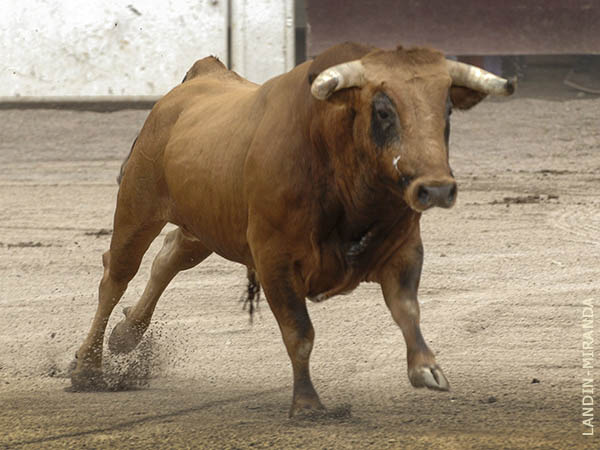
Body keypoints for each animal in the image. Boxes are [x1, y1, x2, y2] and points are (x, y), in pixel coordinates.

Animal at [69, 43, 510, 418]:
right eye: (383, 112)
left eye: (447, 110)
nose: (435, 188)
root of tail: (202, 76)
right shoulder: (273, 260)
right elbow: (299, 332)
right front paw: (308, 404)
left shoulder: (404, 248)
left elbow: (407, 308)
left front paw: (426, 367)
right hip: (137, 210)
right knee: (116, 276)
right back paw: (87, 366)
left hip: (206, 225)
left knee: (169, 257)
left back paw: (126, 334)